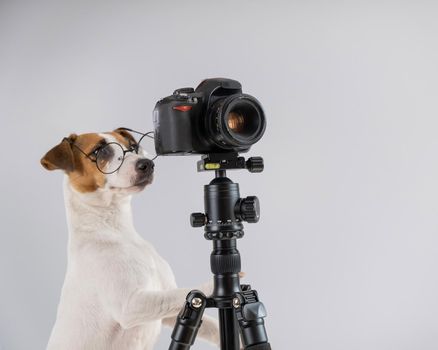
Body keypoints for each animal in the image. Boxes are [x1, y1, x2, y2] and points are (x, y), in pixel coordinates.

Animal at [40, 129, 219, 350]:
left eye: (132, 147)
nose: (147, 164)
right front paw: (217, 284)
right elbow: (186, 294)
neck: (117, 230)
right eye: (99, 151)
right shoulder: (131, 306)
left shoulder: (168, 311)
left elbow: (209, 323)